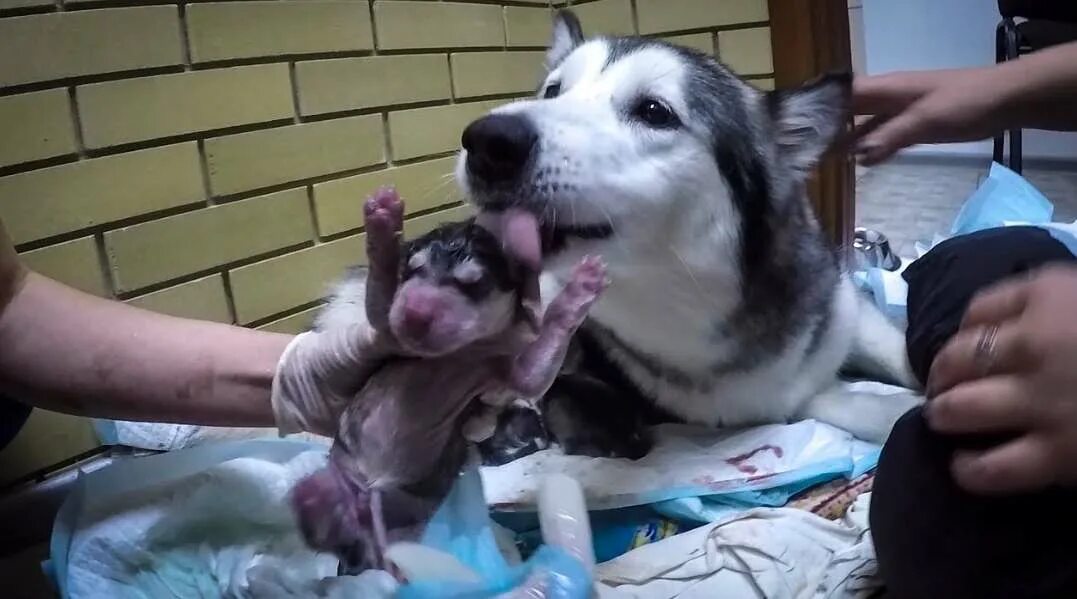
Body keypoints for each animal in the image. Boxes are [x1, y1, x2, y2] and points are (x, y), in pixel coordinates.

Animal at [290, 189, 607, 573]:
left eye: (474, 283)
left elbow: (535, 369)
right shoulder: (387, 331)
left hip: (411, 520)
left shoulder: (507, 371)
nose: (413, 314)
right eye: (412, 269)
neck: (457, 353)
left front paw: (579, 288)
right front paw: (383, 221)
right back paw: (311, 497)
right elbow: (379, 298)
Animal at [454, 10, 917, 454]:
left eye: (654, 112)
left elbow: (903, 350)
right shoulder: (769, 402)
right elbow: (851, 404)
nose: (488, 141)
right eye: (553, 91)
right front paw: (900, 409)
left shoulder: (850, 309)